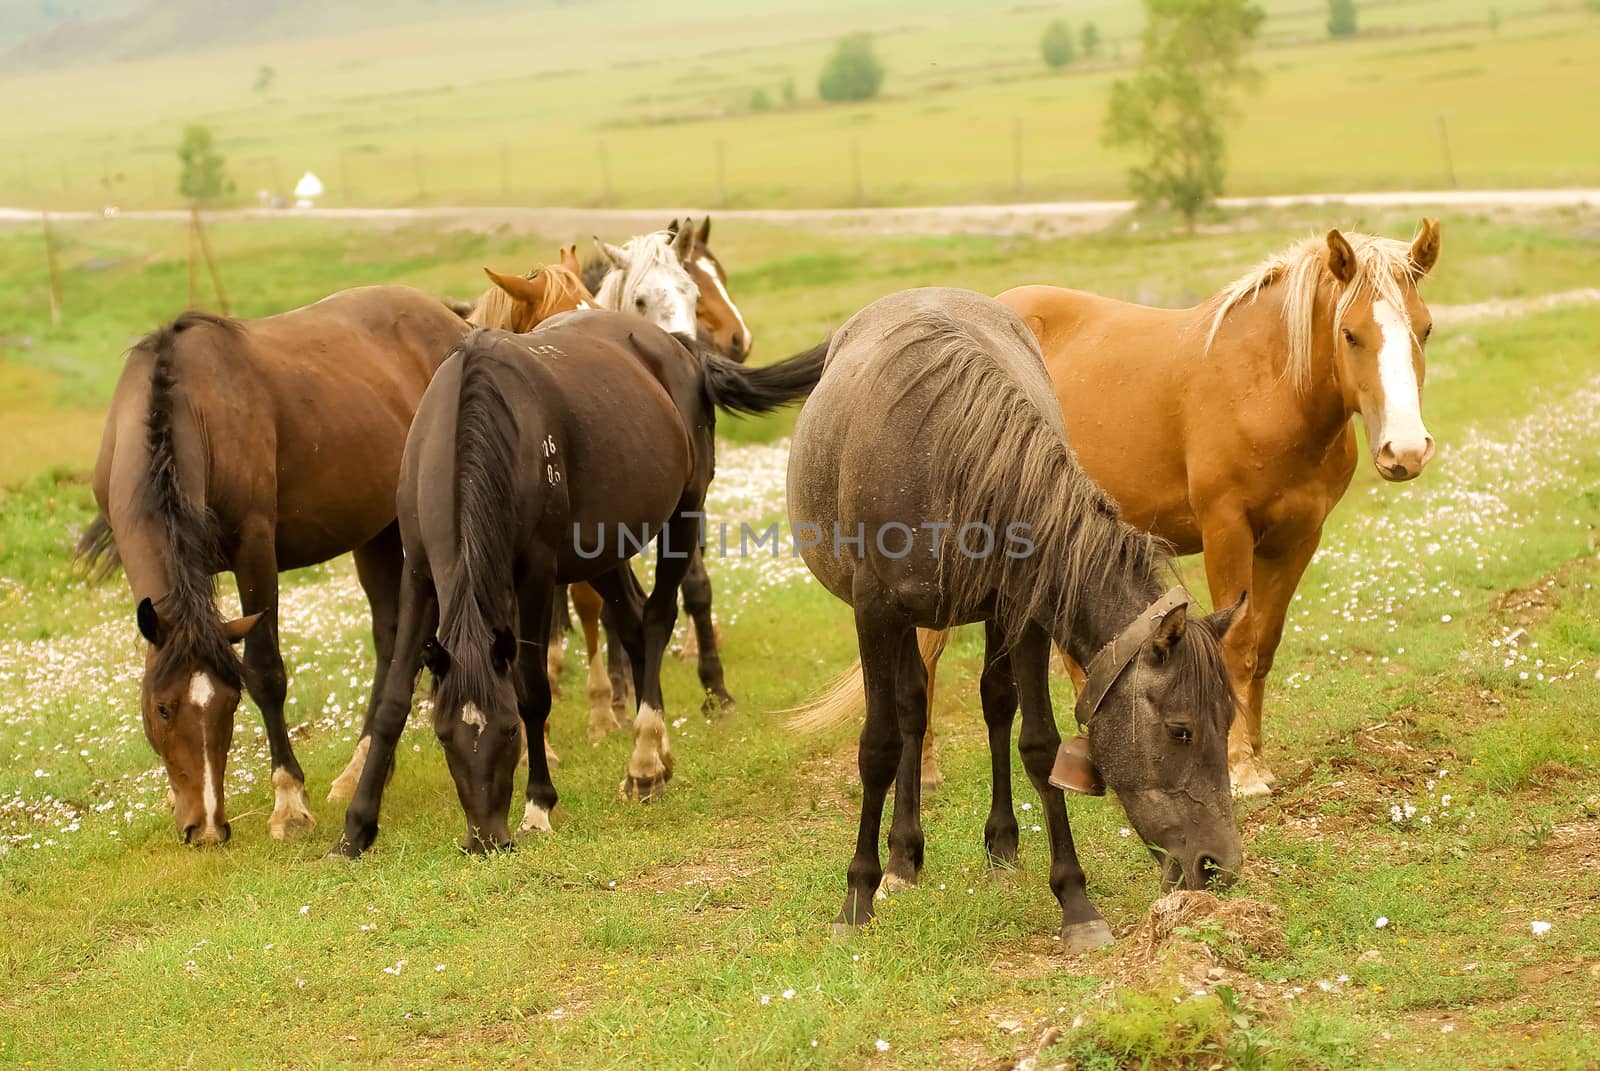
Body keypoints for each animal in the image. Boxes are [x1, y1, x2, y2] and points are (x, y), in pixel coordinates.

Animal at [81, 283, 467, 845]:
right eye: (163, 707)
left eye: (230, 702)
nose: (206, 828)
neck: (191, 409)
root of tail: (454, 320)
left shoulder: (254, 550)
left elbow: (266, 673)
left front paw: (289, 801)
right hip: (377, 529)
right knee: (391, 636)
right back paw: (359, 769)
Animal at [326, 307, 825, 851]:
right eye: (442, 734)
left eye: (509, 732)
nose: (486, 840)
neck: (473, 428)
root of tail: (675, 345)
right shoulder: (419, 574)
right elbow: (393, 698)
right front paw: (355, 829)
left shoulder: (537, 575)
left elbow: (532, 690)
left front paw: (539, 804)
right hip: (602, 553)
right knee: (632, 624)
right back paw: (657, 758)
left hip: (684, 514)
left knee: (657, 616)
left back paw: (644, 760)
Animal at [780, 288, 1241, 947]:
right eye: (1181, 731)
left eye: (1228, 723)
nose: (1221, 866)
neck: (948, 458)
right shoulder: (875, 612)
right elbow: (878, 746)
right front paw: (856, 898)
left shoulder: (1025, 615)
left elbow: (1040, 746)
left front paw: (1076, 902)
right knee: (911, 711)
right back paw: (901, 861)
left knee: (992, 705)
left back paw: (998, 846)